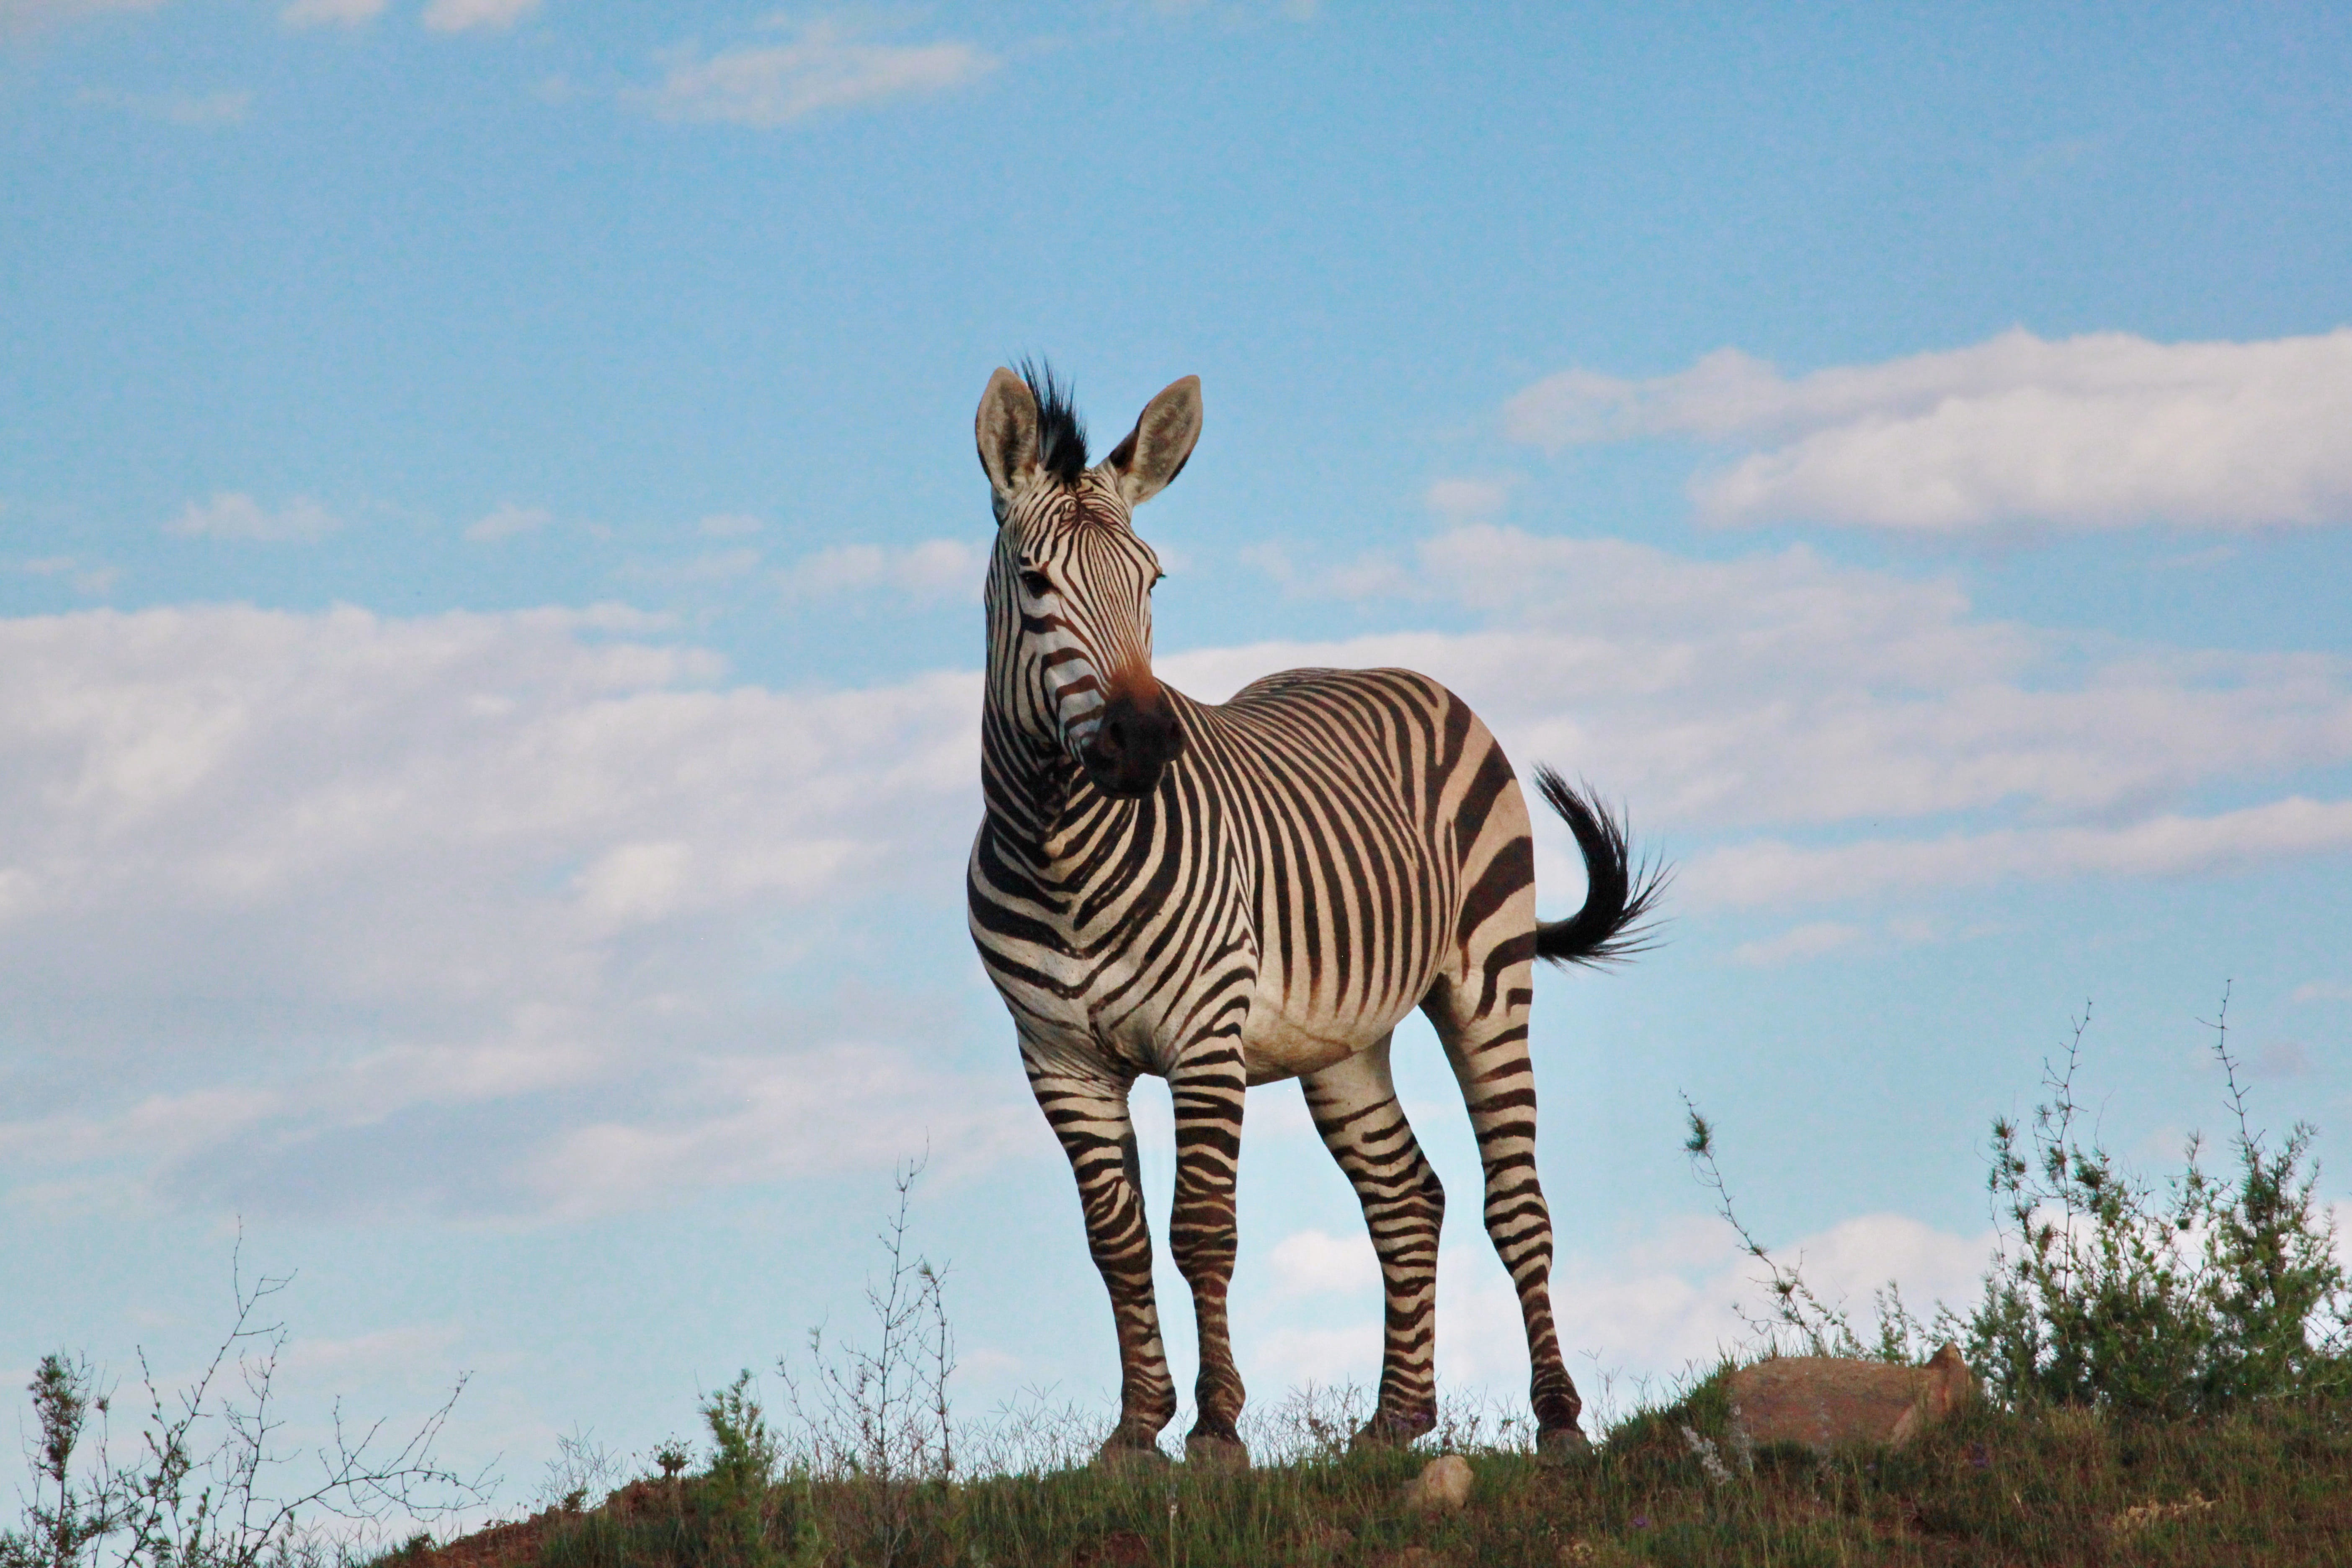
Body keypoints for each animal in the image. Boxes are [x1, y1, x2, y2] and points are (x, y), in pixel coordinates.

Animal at [965, 364, 1661, 1467]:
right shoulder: (1058, 1059)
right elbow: (1116, 1241)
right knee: (1407, 1198)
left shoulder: (1203, 1036)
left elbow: (1201, 1229)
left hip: (1487, 980)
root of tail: (1394, 672)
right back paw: (1394, 1421)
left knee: (1516, 1203)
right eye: (1035, 584)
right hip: (1344, 1043)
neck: (1059, 845)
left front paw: (1215, 1430)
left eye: (1152, 583)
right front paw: (1135, 1430)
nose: (1145, 743)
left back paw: (1557, 1417)